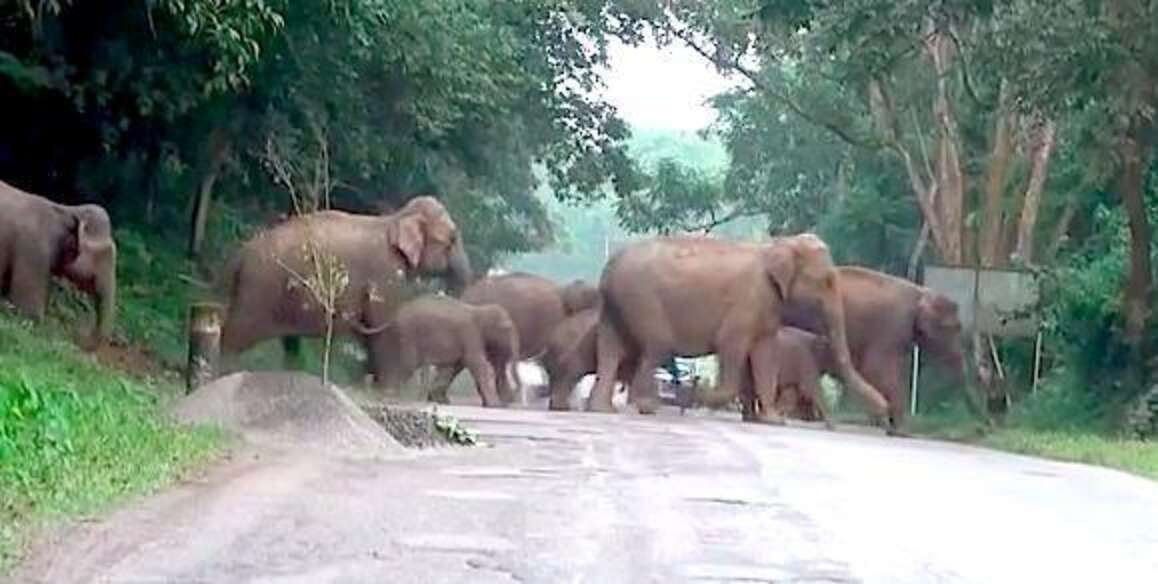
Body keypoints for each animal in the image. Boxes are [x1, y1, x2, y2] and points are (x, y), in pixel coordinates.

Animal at [217, 195, 470, 368]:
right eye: (452, 239)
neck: (395, 219)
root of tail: (241, 253)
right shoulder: (384, 271)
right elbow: (381, 325)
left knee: (289, 344)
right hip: (258, 290)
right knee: (234, 335)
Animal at [356, 294, 521, 407]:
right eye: (507, 327)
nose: (510, 400)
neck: (480, 310)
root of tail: (396, 314)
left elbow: (454, 366)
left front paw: (439, 400)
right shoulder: (469, 333)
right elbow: (476, 364)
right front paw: (495, 405)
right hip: (409, 333)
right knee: (408, 365)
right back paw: (388, 395)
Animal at [583, 234, 889, 428]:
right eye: (826, 281)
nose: (885, 407)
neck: (776, 246)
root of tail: (608, 270)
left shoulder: (767, 310)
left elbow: (765, 357)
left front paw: (773, 420)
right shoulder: (748, 303)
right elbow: (731, 346)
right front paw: (695, 395)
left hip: (616, 306)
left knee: (610, 350)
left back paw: (602, 409)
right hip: (641, 300)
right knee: (656, 346)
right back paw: (646, 406)